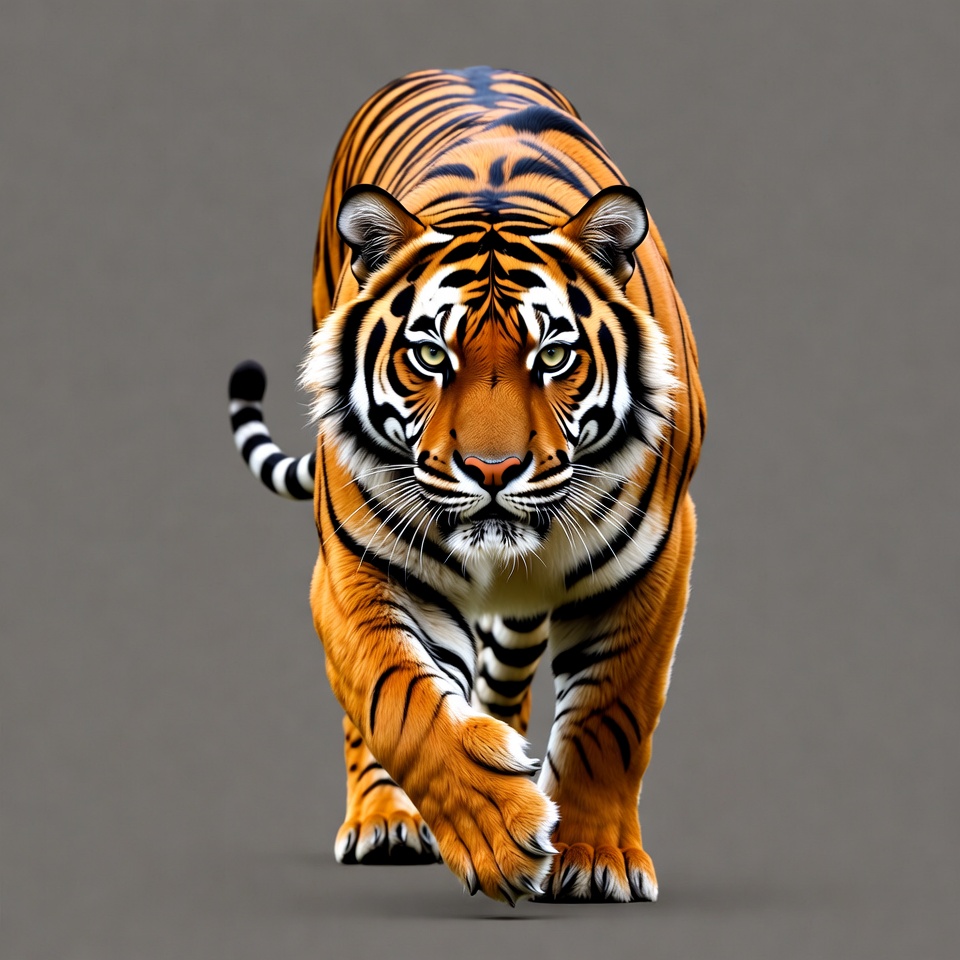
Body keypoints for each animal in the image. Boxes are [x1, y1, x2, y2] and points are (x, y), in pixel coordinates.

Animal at [228, 66, 705, 904]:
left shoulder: (656, 560)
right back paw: (384, 821)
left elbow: (611, 714)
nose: (491, 471)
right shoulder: (356, 571)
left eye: (553, 355)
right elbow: (398, 700)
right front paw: (494, 829)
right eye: (429, 355)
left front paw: (595, 859)